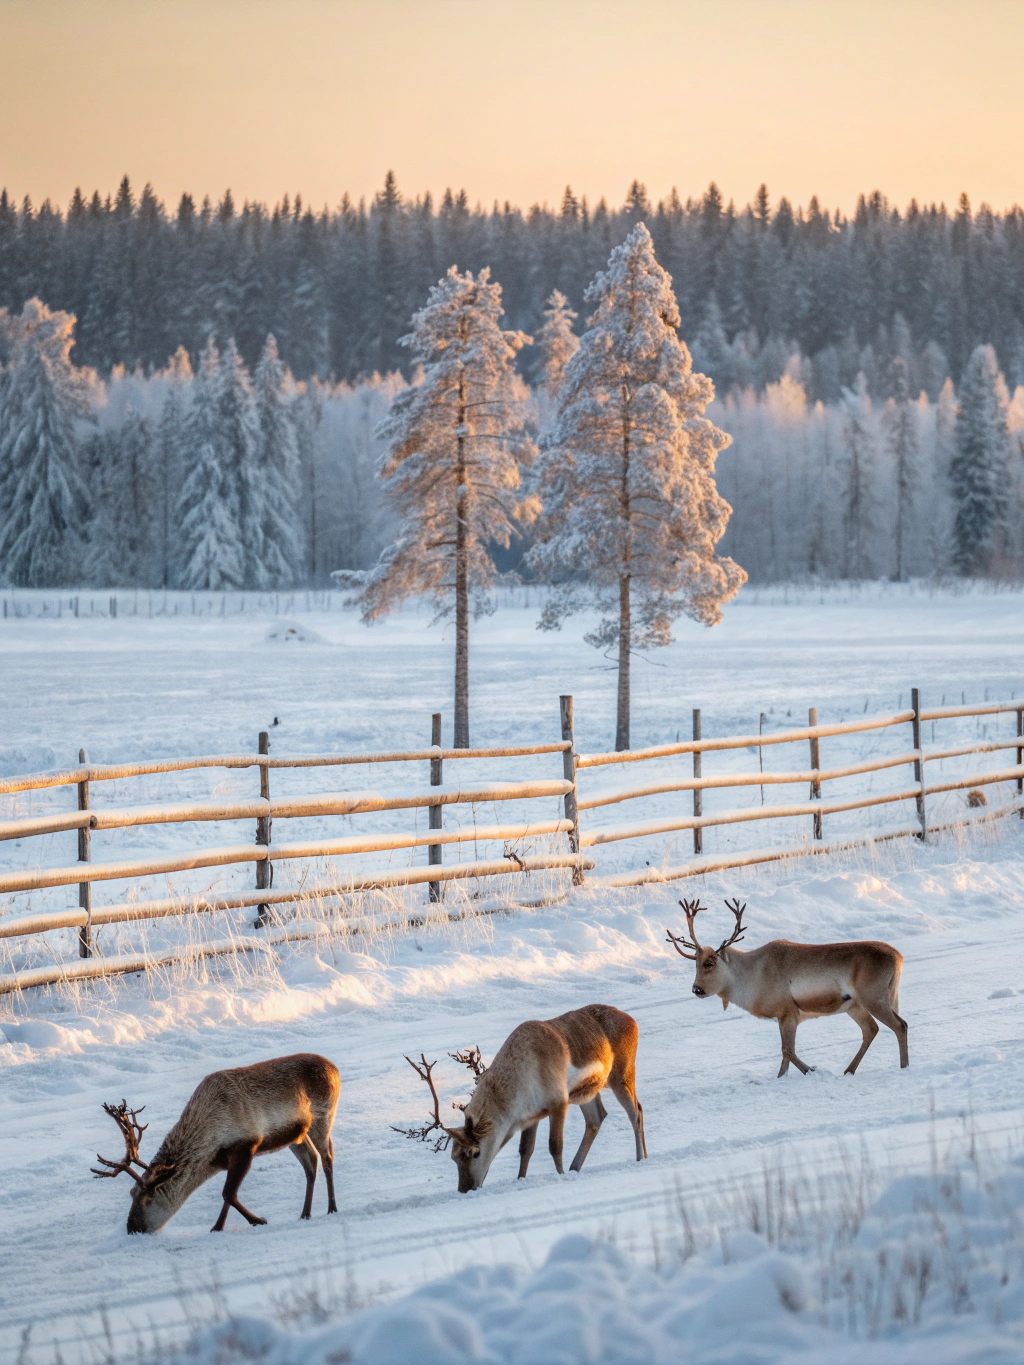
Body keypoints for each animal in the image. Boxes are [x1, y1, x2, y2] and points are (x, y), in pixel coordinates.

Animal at [92, 1053, 340, 1233]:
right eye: (131, 1193)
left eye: (147, 1199)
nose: (132, 1229)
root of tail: (335, 1069)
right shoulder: (226, 1158)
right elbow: (229, 1194)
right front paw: (229, 1224)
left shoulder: (245, 1146)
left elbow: (228, 1193)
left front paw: (250, 1221)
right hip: (296, 1135)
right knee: (311, 1162)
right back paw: (305, 1213)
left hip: (323, 1117)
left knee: (327, 1158)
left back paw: (331, 1208)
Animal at [394, 1004, 647, 1192]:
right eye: (453, 1157)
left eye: (473, 1153)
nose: (464, 1189)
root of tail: (633, 1021)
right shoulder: (532, 1115)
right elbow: (525, 1150)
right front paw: (520, 1179)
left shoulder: (559, 1101)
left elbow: (555, 1146)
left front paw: (559, 1175)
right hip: (586, 1093)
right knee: (597, 1118)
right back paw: (576, 1167)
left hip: (621, 1074)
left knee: (636, 1111)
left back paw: (640, 1158)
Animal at [666, 898, 909, 1077]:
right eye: (695, 964)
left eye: (709, 963)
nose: (696, 989)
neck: (749, 978)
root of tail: (898, 957)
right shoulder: (784, 1016)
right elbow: (785, 1054)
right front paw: (786, 1076)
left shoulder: (787, 1012)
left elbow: (787, 1050)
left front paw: (811, 1069)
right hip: (856, 1005)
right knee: (871, 1029)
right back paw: (849, 1070)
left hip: (873, 997)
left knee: (900, 1025)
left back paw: (904, 1066)